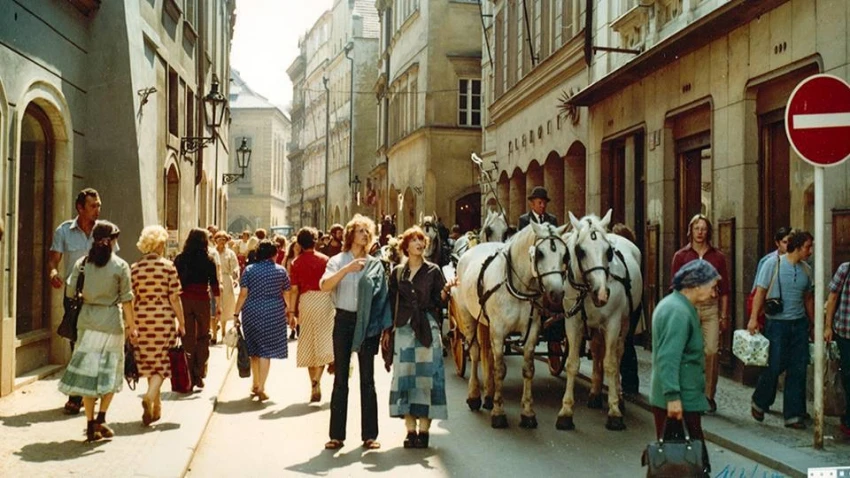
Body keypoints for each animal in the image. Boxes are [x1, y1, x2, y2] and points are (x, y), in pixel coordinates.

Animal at [454, 222, 568, 428]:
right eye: (540, 253)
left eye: (565, 255)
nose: (556, 293)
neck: (516, 286)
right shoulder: (499, 332)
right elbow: (500, 370)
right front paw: (499, 412)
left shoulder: (531, 332)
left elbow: (528, 369)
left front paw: (528, 412)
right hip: (467, 316)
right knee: (475, 353)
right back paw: (474, 395)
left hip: (485, 323)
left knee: (487, 355)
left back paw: (488, 396)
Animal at [552, 211, 640, 432]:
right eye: (580, 251)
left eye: (608, 252)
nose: (602, 294)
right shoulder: (573, 323)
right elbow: (573, 363)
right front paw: (566, 412)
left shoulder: (613, 323)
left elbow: (610, 363)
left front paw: (614, 411)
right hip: (593, 327)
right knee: (597, 350)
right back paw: (595, 393)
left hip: (624, 323)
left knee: (617, 354)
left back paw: (618, 397)